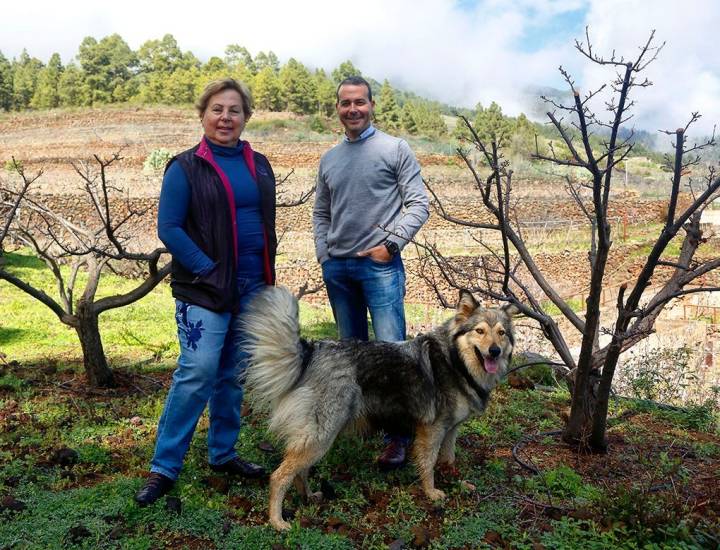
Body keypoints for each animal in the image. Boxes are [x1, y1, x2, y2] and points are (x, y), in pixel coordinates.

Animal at [242, 286, 516, 532]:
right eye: (480, 331)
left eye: (501, 333)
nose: (494, 351)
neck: (455, 360)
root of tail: (311, 351)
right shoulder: (433, 430)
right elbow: (428, 464)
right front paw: (431, 492)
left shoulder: (451, 430)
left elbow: (449, 460)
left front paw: (456, 482)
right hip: (321, 435)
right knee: (279, 476)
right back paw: (277, 521)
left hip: (318, 436)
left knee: (300, 471)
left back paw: (308, 497)